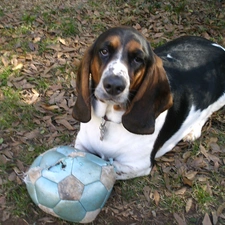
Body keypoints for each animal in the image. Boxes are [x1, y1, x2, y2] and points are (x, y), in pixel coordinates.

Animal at [72, 26, 225, 179]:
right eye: (104, 51)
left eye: (138, 59)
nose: (114, 85)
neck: (110, 121)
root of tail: (218, 47)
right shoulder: (81, 145)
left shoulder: (137, 165)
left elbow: (112, 170)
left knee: (208, 113)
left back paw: (193, 131)